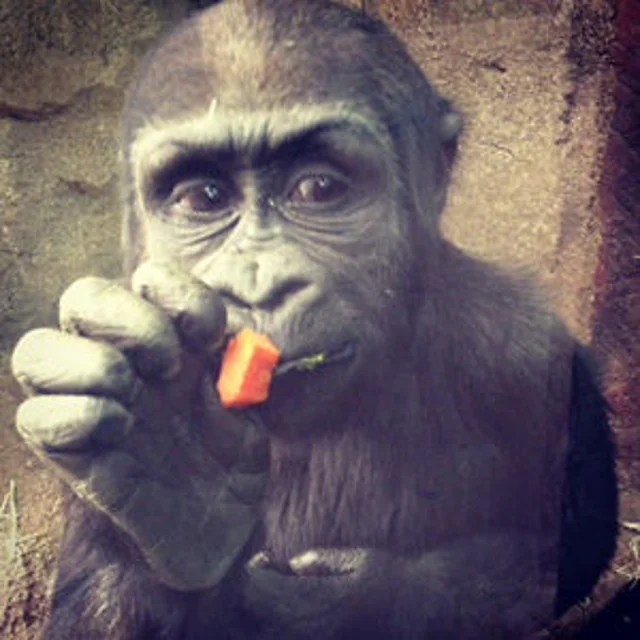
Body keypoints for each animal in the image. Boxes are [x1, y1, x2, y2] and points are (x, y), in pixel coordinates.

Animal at [10, 1, 617, 638]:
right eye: (203, 198)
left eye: (319, 187)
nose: (260, 285)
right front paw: (173, 473)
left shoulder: (524, 349)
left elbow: (565, 552)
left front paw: (355, 596)